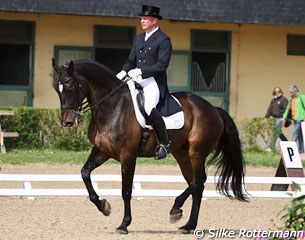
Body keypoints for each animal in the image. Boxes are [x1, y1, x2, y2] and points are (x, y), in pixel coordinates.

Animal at [52, 59, 247, 234]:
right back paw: (188, 225)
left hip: (197, 152)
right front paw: (103, 206)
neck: (112, 106)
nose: (68, 122)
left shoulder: (127, 155)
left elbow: (126, 190)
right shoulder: (102, 151)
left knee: (199, 181)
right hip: (182, 153)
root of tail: (213, 109)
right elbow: (85, 173)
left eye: (69, 88)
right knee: (195, 184)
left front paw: (124, 224)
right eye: (57, 89)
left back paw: (176, 209)